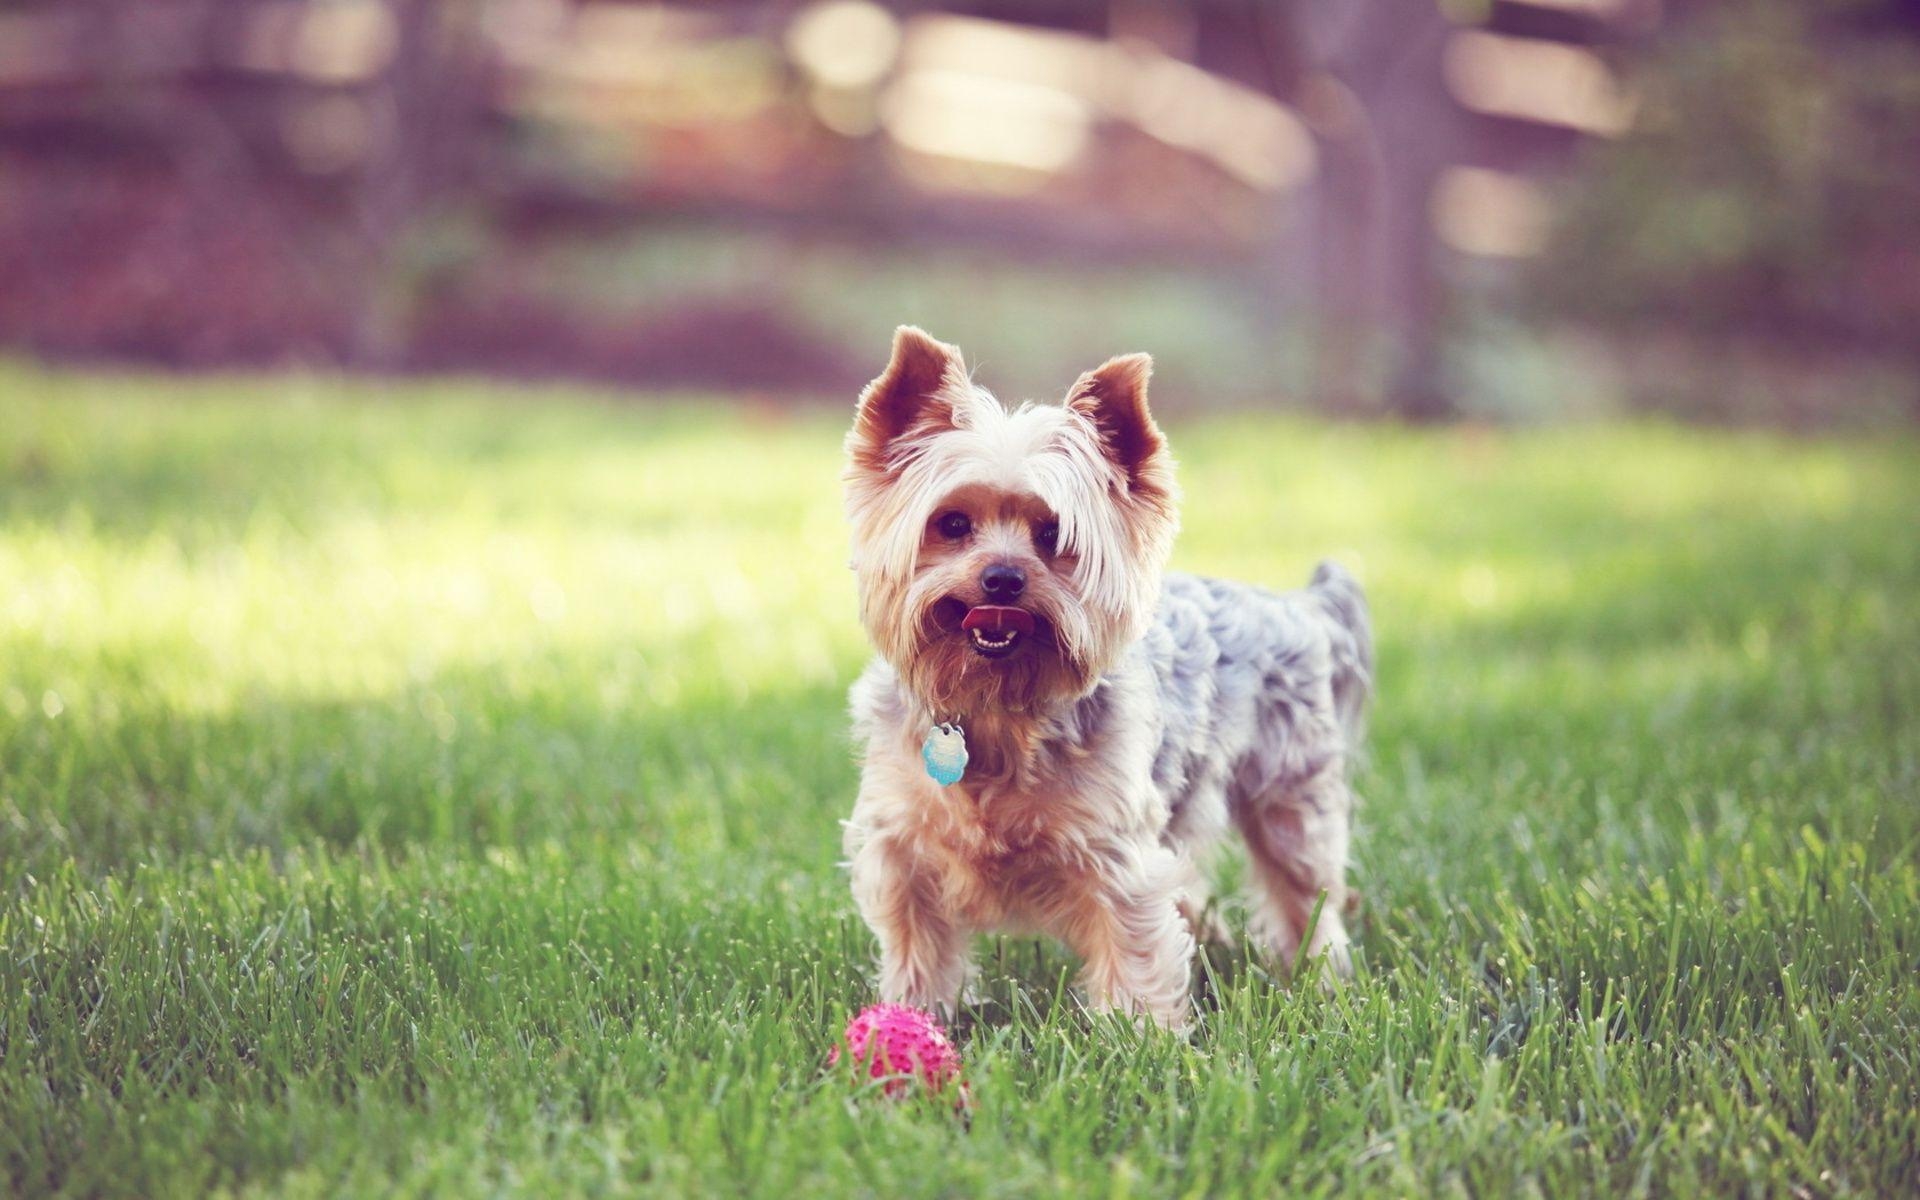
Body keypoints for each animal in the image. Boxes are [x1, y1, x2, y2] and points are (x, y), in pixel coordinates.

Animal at [840, 328, 1367, 1029]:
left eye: (1052, 532)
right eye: (951, 524)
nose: (1002, 578)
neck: (996, 705)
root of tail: (1295, 605)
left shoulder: (1117, 852)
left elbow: (1136, 945)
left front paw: (1140, 1038)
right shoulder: (902, 847)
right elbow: (916, 945)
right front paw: (910, 1016)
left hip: (1290, 794)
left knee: (1305, 890)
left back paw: (1321, 977)